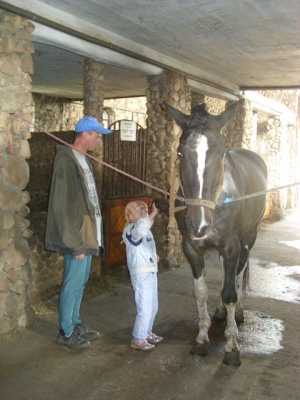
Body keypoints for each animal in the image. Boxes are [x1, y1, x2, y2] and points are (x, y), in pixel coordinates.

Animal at [158, 101, 268, 366]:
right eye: (180, 153)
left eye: (220, 154)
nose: (198, 224)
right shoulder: (192, 248)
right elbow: (200, 293)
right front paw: (201, 339)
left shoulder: (231, 247)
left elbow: (230, 293)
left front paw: (231, 346)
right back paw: (220, 312)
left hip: (247, 239)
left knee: (238, 274)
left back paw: (237, 313)